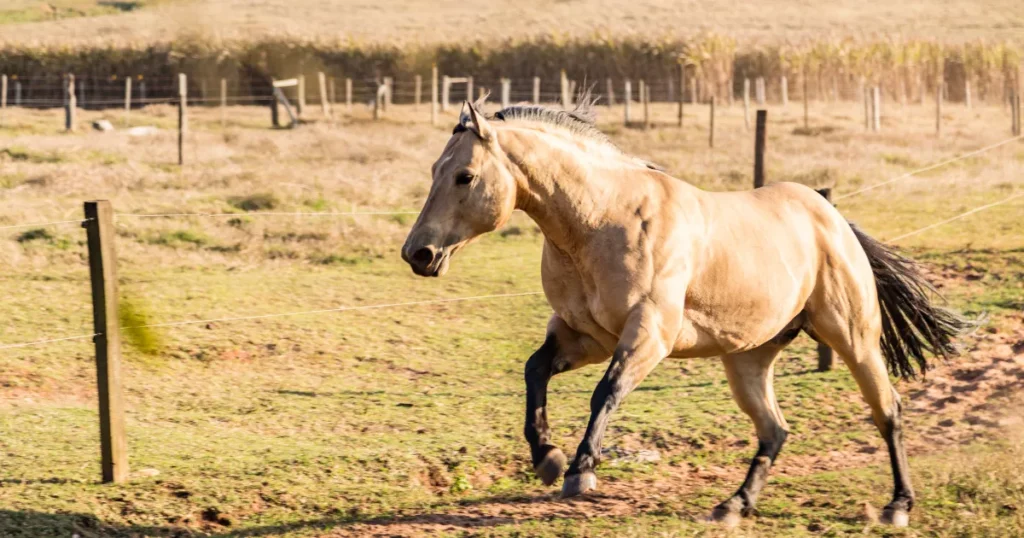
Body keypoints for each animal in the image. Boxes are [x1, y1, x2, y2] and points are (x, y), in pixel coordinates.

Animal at [399, 96, 966, 524]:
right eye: (434, 170)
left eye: (464, 176)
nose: (417, 254)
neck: (600, 220)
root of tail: (831, 216)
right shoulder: (585, 335)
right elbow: (534, 371)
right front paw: (548, 459)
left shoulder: (649, 334)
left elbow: (606, 391)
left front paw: (581, 470)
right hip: (749, 359)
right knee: (775, 429)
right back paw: (734, 505)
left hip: (853, 338)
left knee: (888, 411)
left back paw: (897, 506)